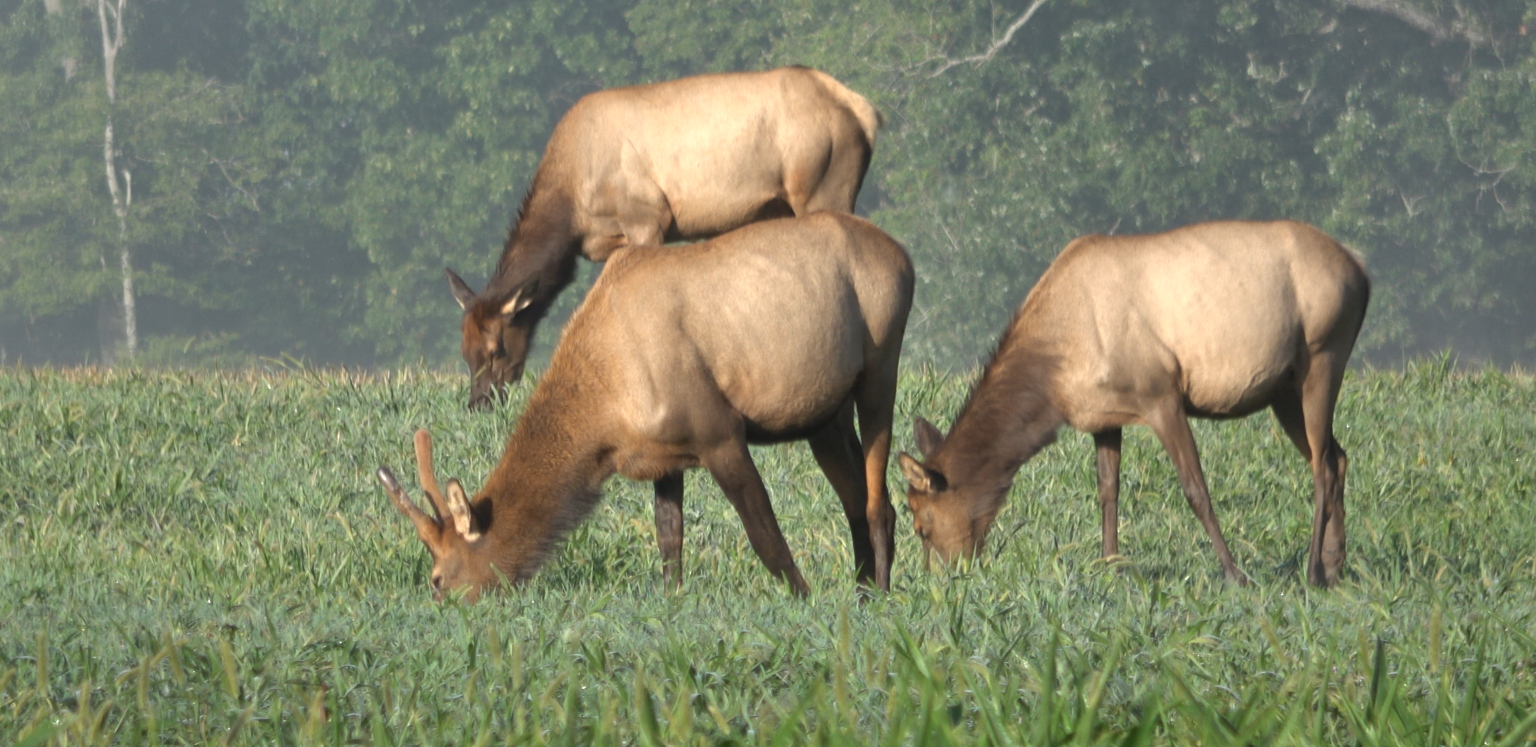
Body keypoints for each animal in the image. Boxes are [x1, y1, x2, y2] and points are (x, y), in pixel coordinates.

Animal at [382, 212, 913, 600]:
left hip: (880, 367)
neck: (606, 414)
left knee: (879, 501)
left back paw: (883, 596)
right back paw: (863, 590)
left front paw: (804, 598)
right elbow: (669, 541)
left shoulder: (719, 433)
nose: (438, 605)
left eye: (438, 578)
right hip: (823, 417)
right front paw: (672, 601)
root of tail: (905, 255)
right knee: (855, 501)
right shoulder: (665, 456)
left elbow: (766, 538)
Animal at [446, 66, 884, 409]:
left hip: (822, 183)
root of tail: (865, 112)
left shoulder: (647, 216)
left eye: (496, 348)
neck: (571, 204)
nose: (479, 403)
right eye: (464, 351)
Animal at [898, 220, 1370, 587]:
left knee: (1322, 466)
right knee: (1339, 455)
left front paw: (1235, 574)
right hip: (1284, 389)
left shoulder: (1161, 395)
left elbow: (1196, 489)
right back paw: (1335, 566)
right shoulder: (1104, 416)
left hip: (1323, 356)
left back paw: (1313, 571)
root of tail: (1362, 270)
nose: (941, 579)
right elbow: (1108, 490)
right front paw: (1110, 565)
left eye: (922, 525)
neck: (1055, 378)